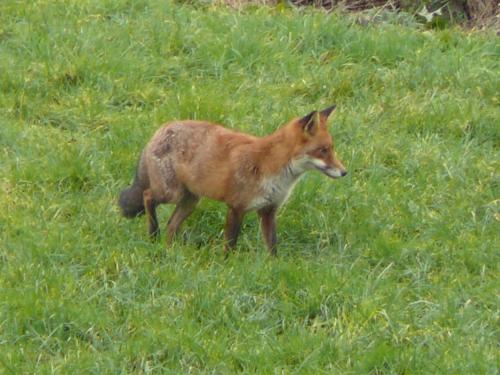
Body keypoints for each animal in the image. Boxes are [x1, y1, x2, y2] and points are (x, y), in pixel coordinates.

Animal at [120, 106, 348, 256]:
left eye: (332, 148)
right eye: (323, 150)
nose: (344, 172)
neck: (272, 167)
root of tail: (162, 128)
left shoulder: (268, 210)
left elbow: (272, 245)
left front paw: (273, 266)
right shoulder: (236, 207)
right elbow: (230, 243)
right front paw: (226, 265)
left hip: (190, 200)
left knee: (171, 224)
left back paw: (169, 249)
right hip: (171, 193)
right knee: (148, 196)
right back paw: (153, 234)